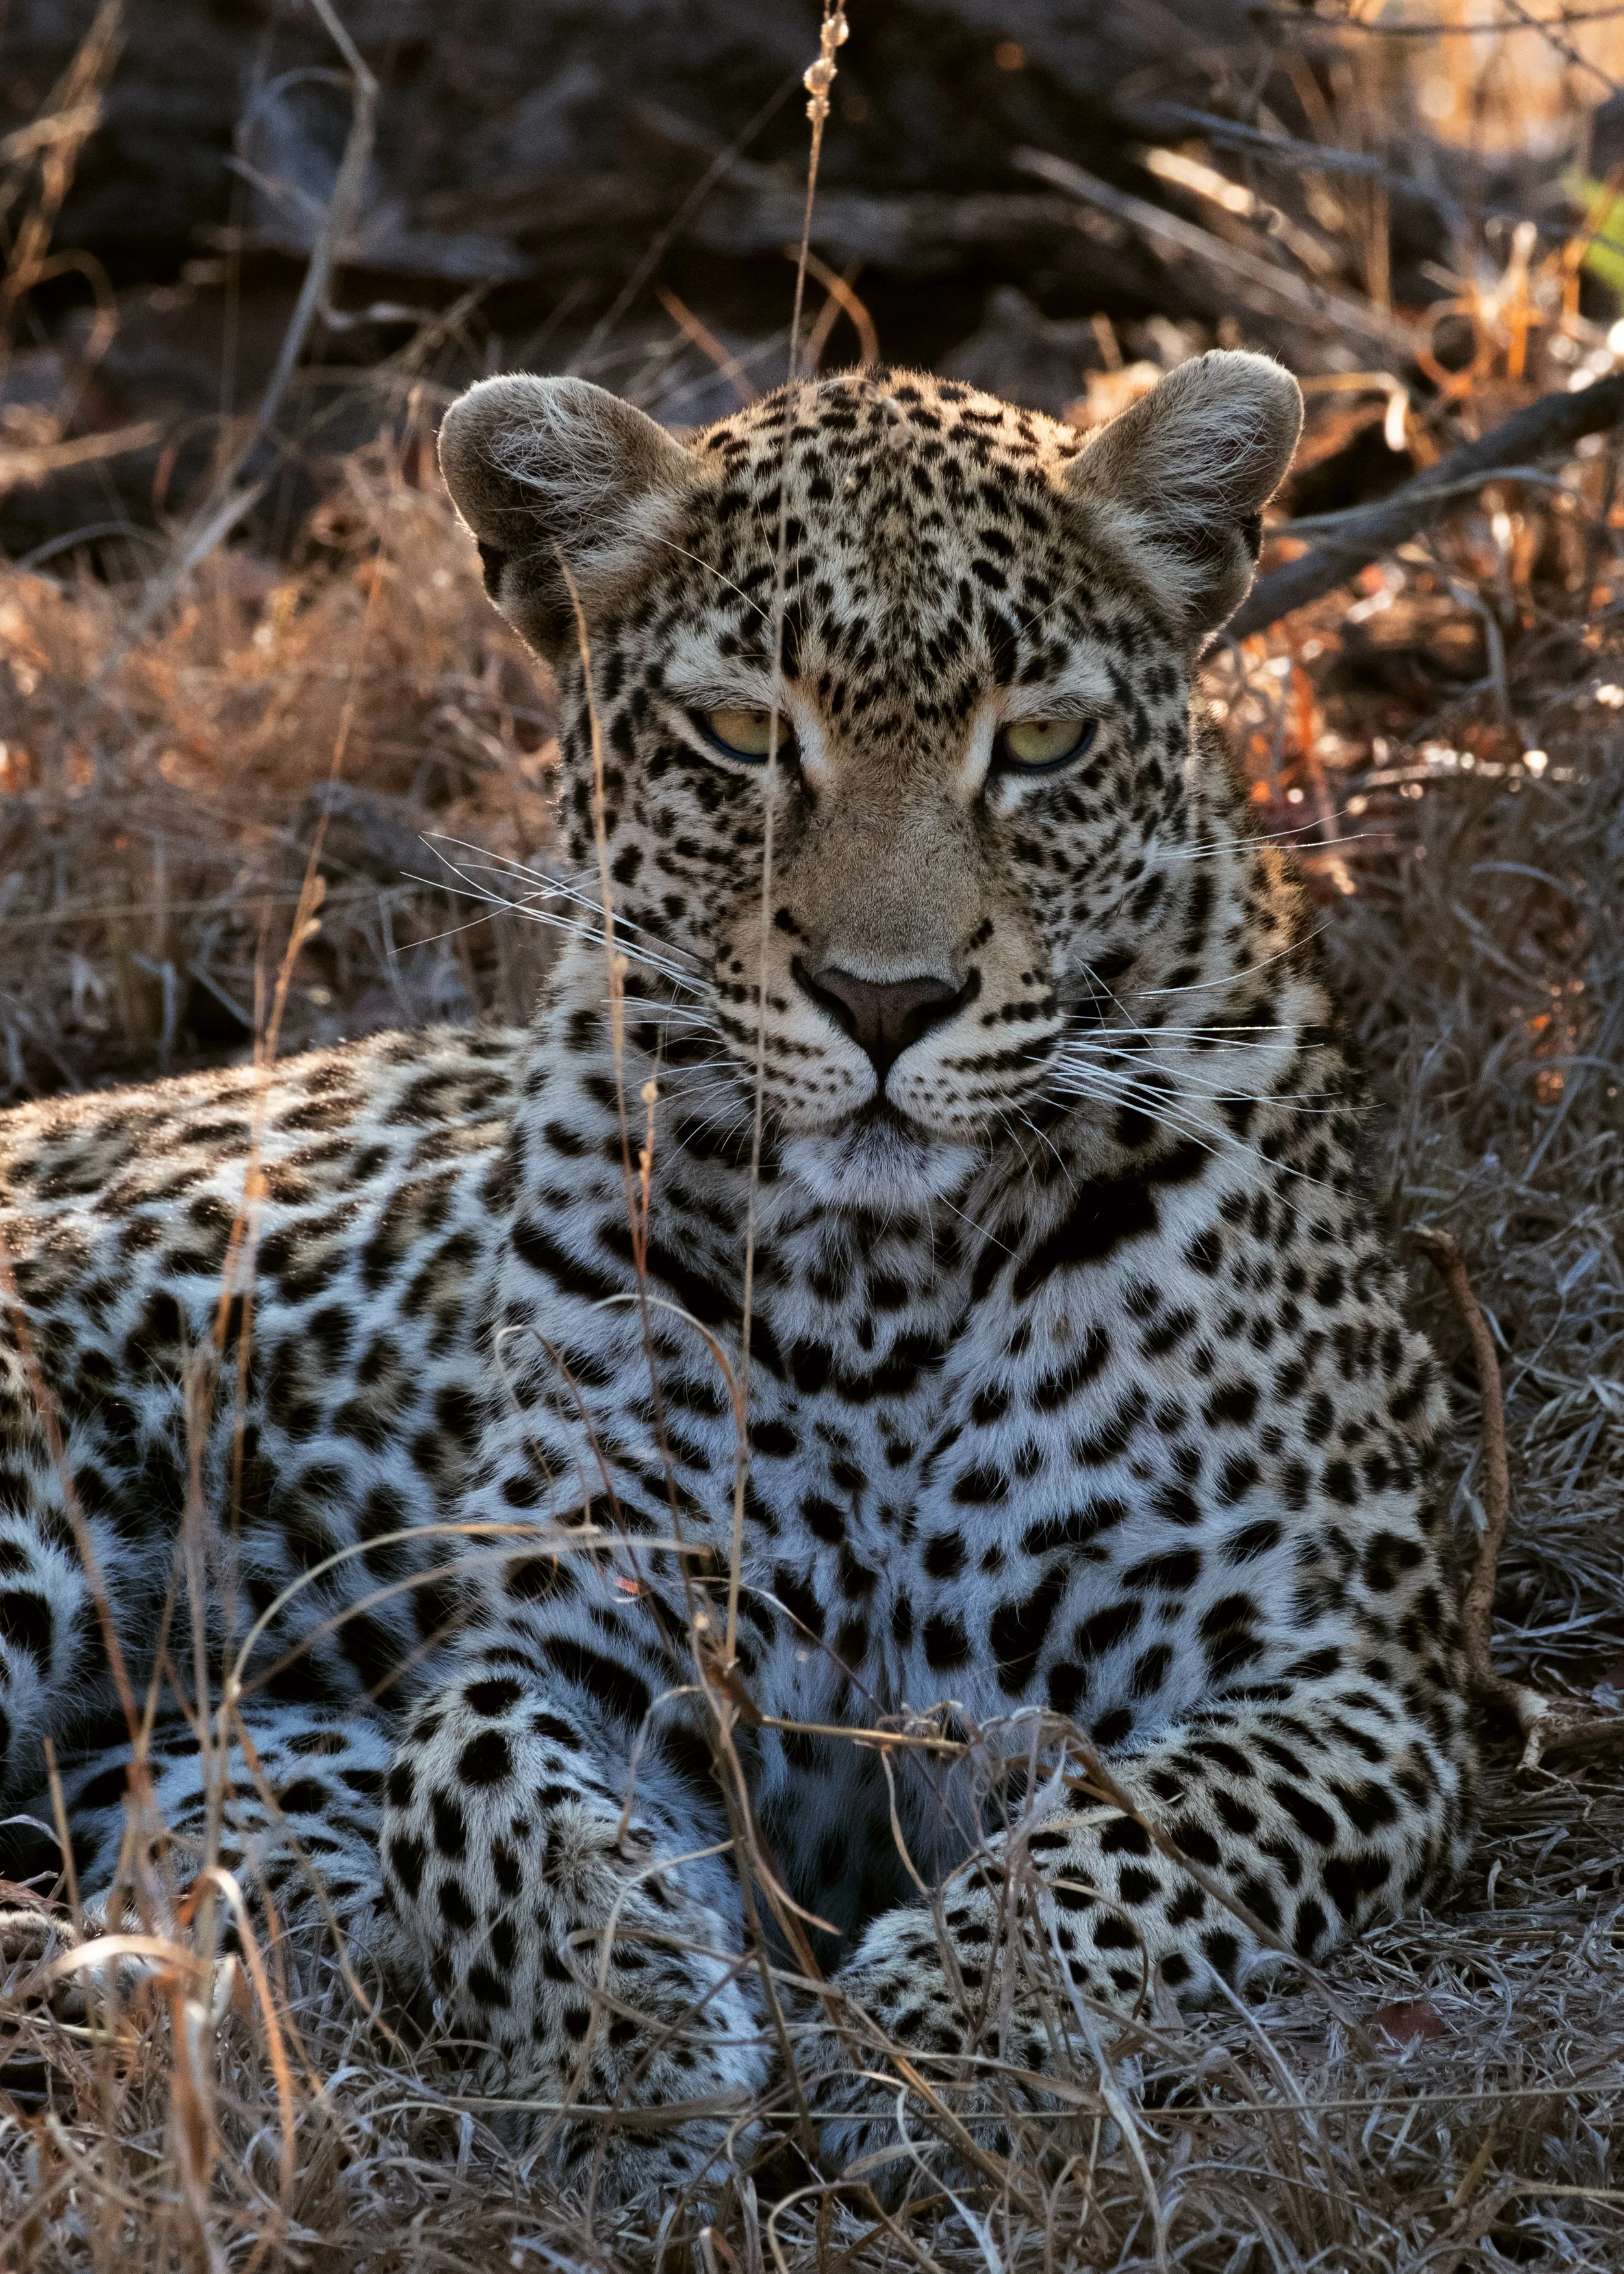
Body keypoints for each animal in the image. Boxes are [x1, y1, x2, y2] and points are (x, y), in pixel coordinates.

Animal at [0, 351, 1474, 2208]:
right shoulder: (570, 1640)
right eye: (745, 736)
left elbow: (1131, 1841)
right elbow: (480, 1789)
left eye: (1039, 745)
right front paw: (630, 2044)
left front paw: (931, 2040)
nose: (885, 998)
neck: (884, 1291)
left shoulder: (1347, 1675)